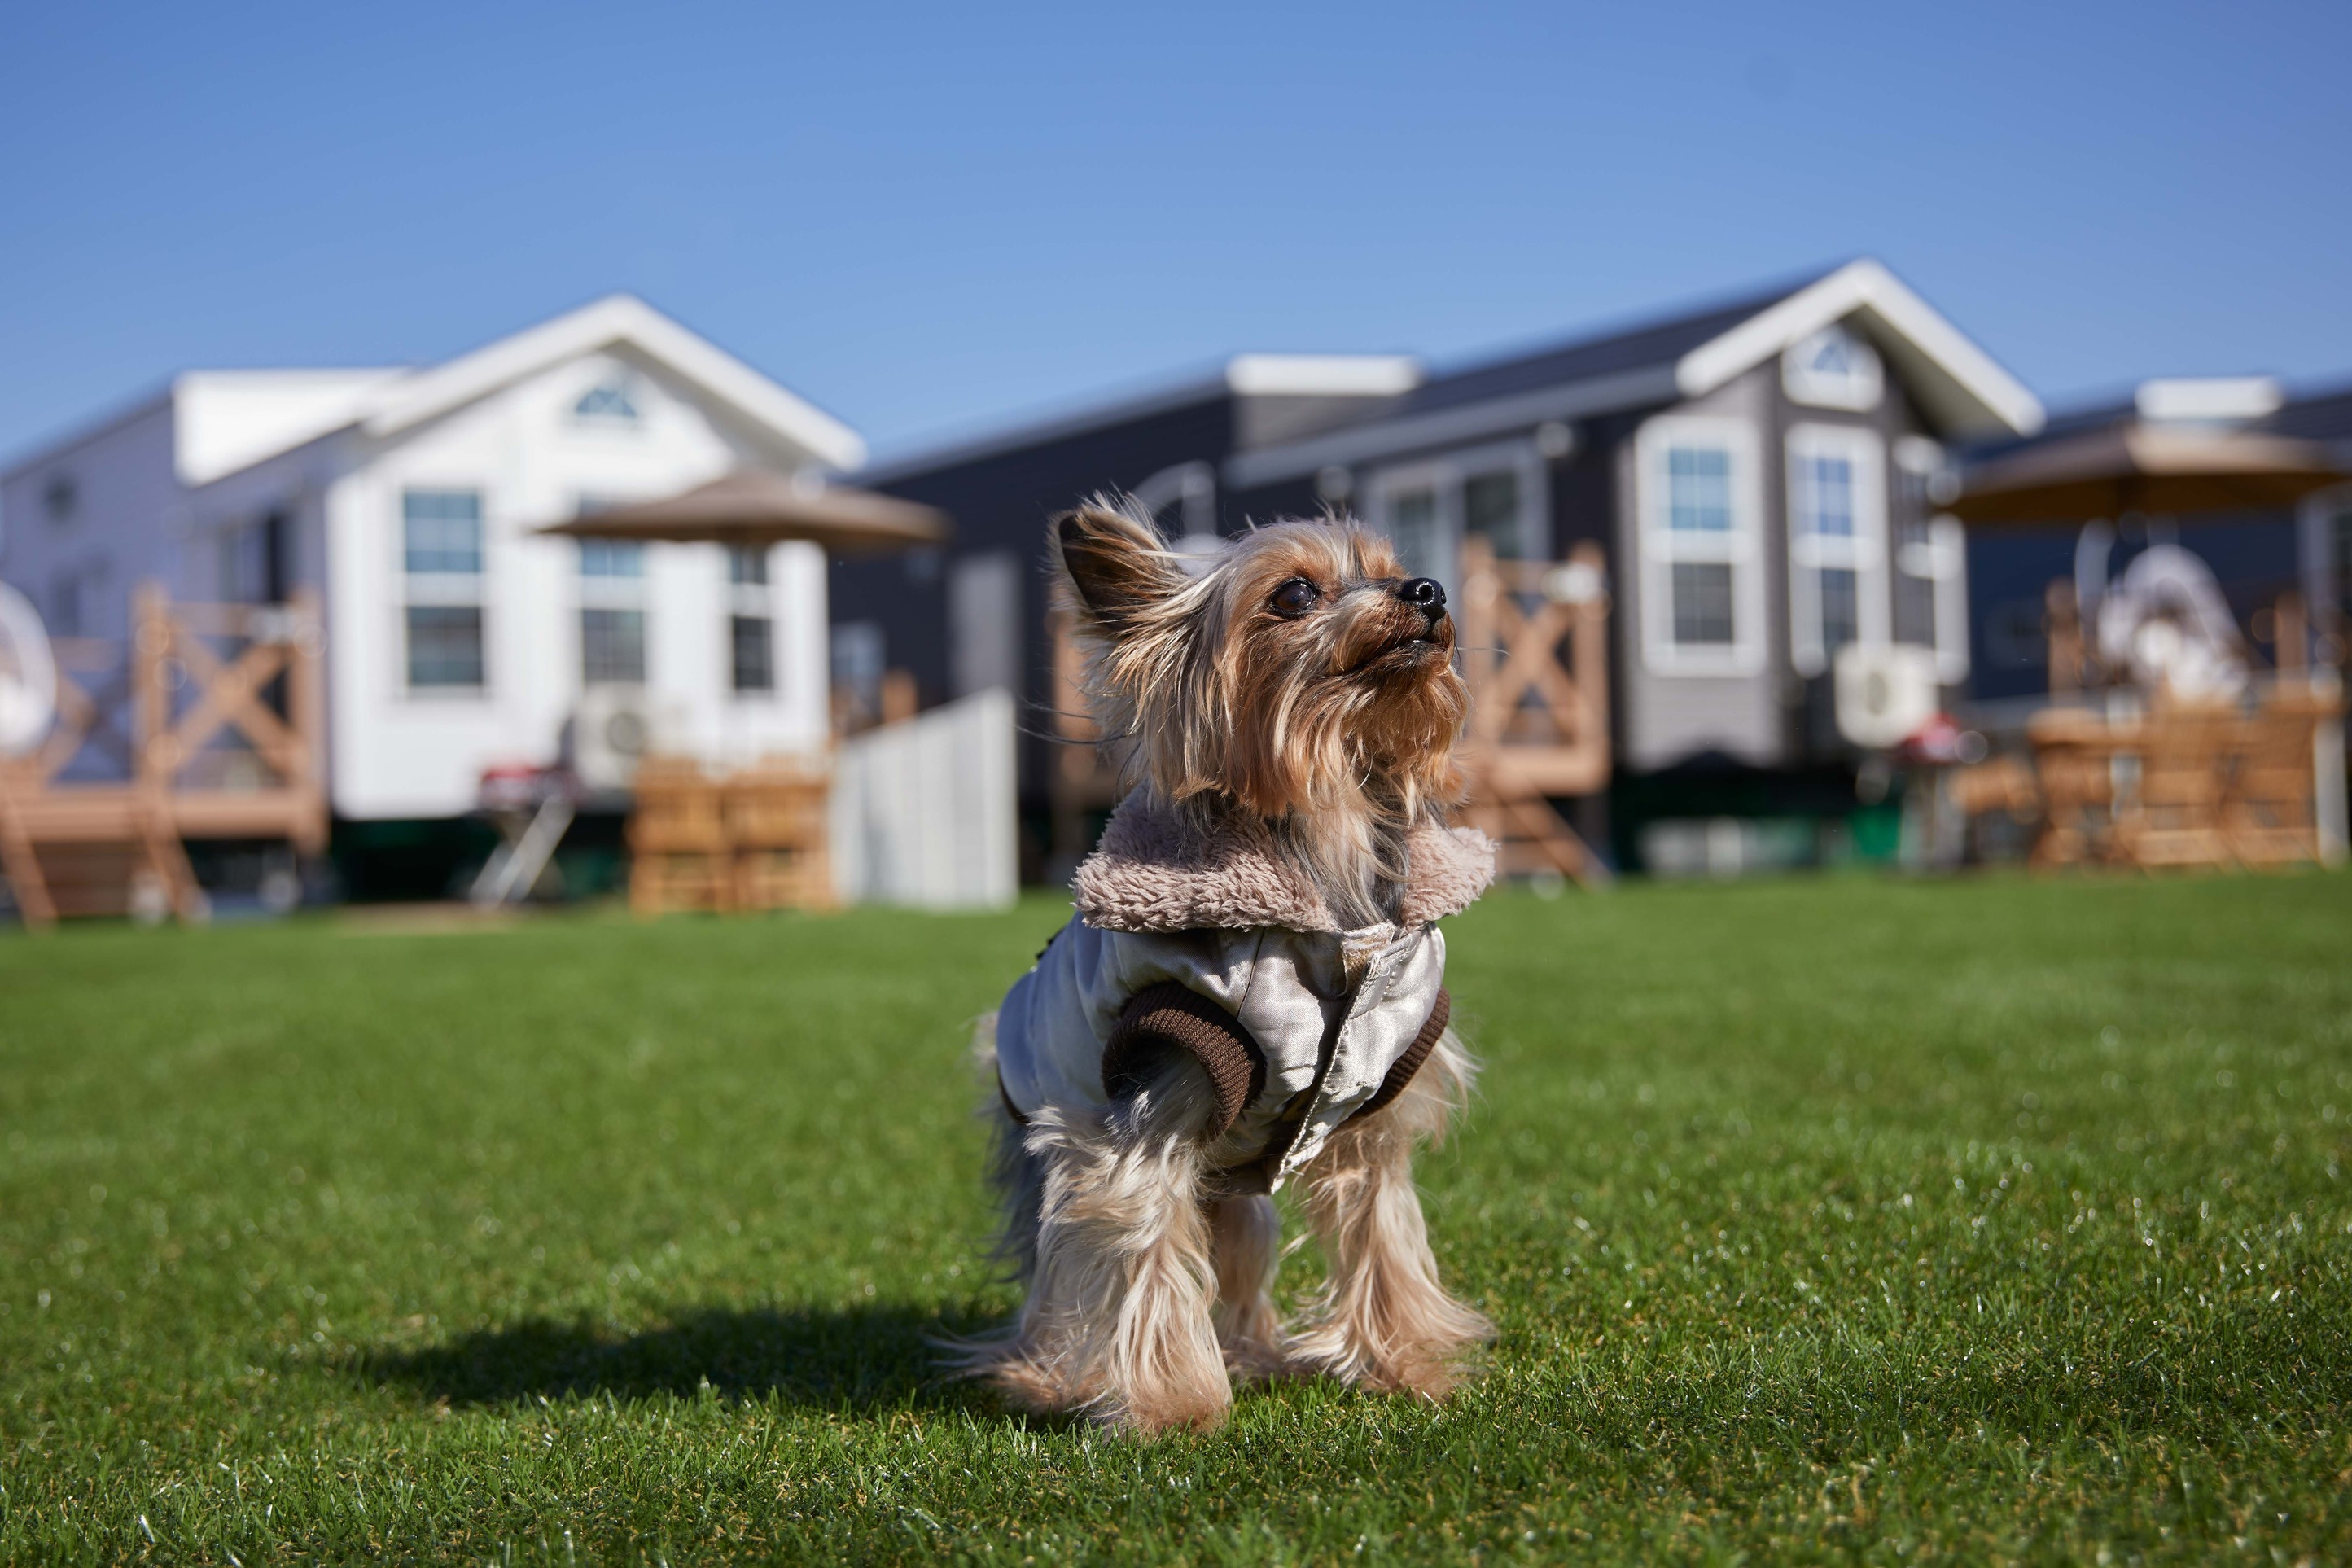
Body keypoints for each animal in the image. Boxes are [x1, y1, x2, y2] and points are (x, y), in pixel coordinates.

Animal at [964, 501, 1496, 1439]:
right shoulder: (1146, 1112)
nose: (1427, 590)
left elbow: (1386, 1235)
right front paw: (1173, 1407)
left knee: (1238, 1248)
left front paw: (1407, 1367)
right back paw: (1048, 1375)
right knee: (1062, 1278)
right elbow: (1145, 1253)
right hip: (1046, 1156)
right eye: (1292, 595)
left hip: (1235, 1195)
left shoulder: (1372, 1111)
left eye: (1390, 567)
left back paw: (1253, 1353)